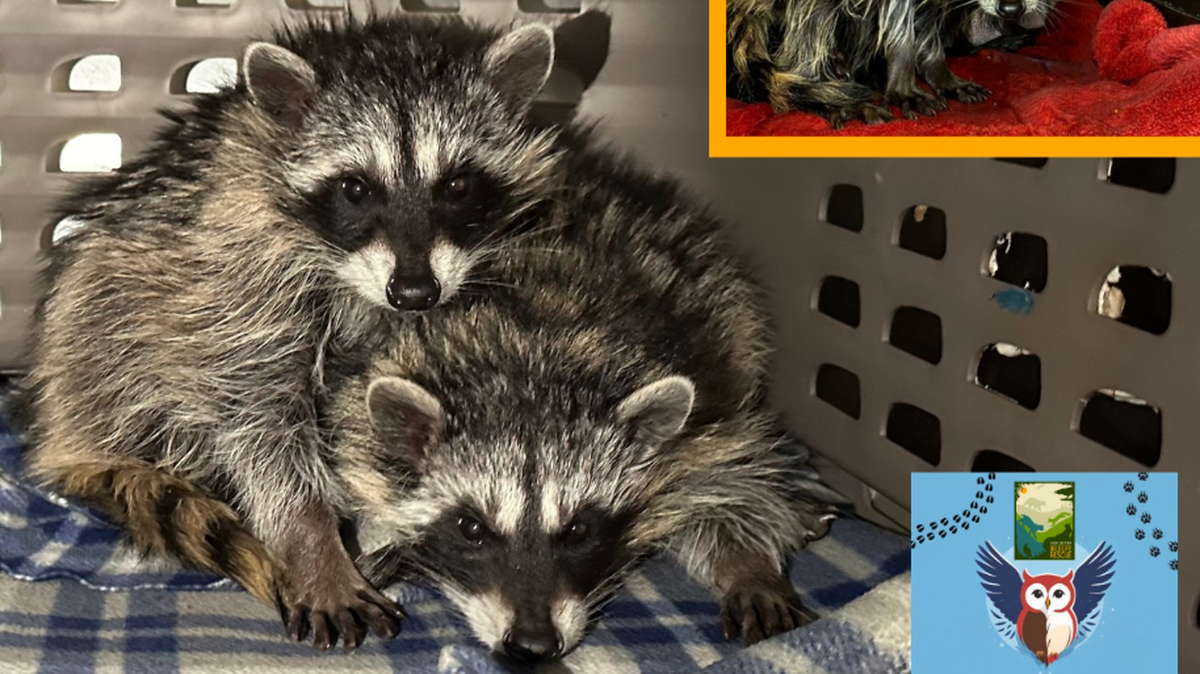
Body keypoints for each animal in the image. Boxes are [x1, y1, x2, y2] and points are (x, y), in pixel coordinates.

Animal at [27, 14, 563, 649]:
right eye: (356, 187)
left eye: (457, 185)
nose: (414, 293)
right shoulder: (236, 274)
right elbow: (256, 415)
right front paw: (312, 539)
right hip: (99, 320)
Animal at [326, 131, 845, 660]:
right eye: (471, 528)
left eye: (579, 529)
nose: (533, 646)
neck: (526, 361)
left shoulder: (707, 403)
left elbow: (732, 477)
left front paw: (748, 564)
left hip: (727, 304)